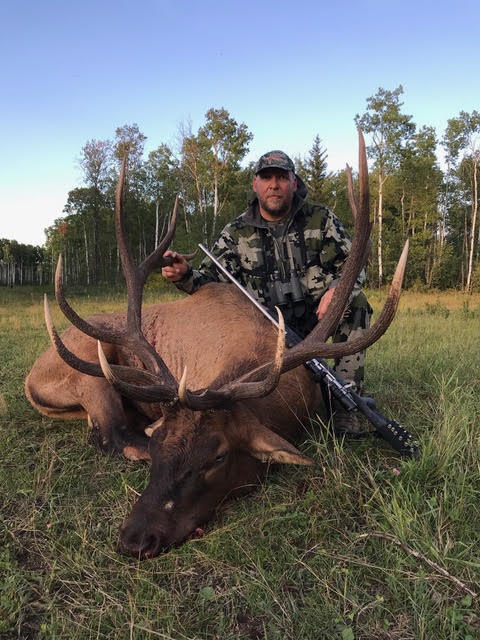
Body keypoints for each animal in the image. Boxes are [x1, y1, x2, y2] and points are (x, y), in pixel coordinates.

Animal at [25, 130, 408, 558]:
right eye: (160, 445)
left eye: (219, 455)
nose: (135, 538)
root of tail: (30, 378)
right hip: (88, 371)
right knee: (112, 433)